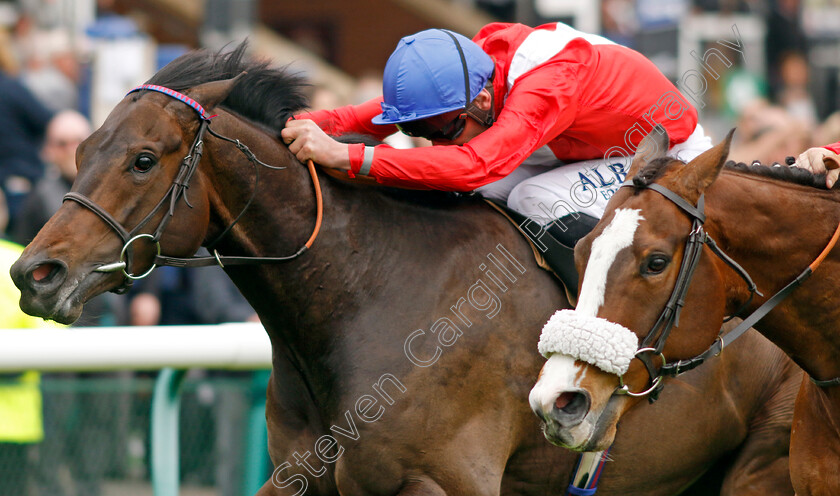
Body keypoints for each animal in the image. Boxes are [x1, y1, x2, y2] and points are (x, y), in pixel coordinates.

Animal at [11, 44, 800, 494]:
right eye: (80, 151)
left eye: (143, 160)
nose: (34, 274)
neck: (368, 294)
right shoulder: (303, 477)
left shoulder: (444, 481)